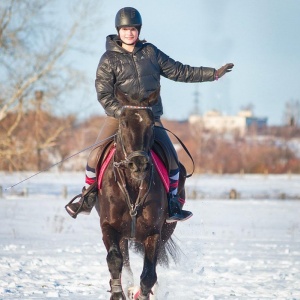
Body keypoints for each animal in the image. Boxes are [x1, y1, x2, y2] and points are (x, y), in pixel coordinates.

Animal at [95, 89, 184, 300]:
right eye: (123, 122)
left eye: (150, 123)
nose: (139, 164)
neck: (133, 187)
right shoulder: (109, 227)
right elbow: (115, 260)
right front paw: (118, 293)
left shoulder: (154, 233)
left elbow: (149, 274)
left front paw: (142, 293)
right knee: (124, 262)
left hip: (166, 231)